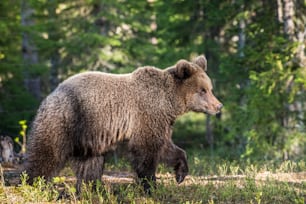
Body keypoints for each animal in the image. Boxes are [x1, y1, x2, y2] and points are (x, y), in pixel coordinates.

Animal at [25, 55, 222, 194]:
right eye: (202, 90)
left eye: (210, 88)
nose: (219, 106)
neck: (169, 102)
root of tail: (50, 96)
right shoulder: (146, 114)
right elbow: (146, 151)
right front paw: (150, 186)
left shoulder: (160, 121)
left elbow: (167, 148)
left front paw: (180, 174)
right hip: (66, 121)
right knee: (46, 155)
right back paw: (32, 185)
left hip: (89, 136)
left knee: (90, 164)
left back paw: (91, 189)